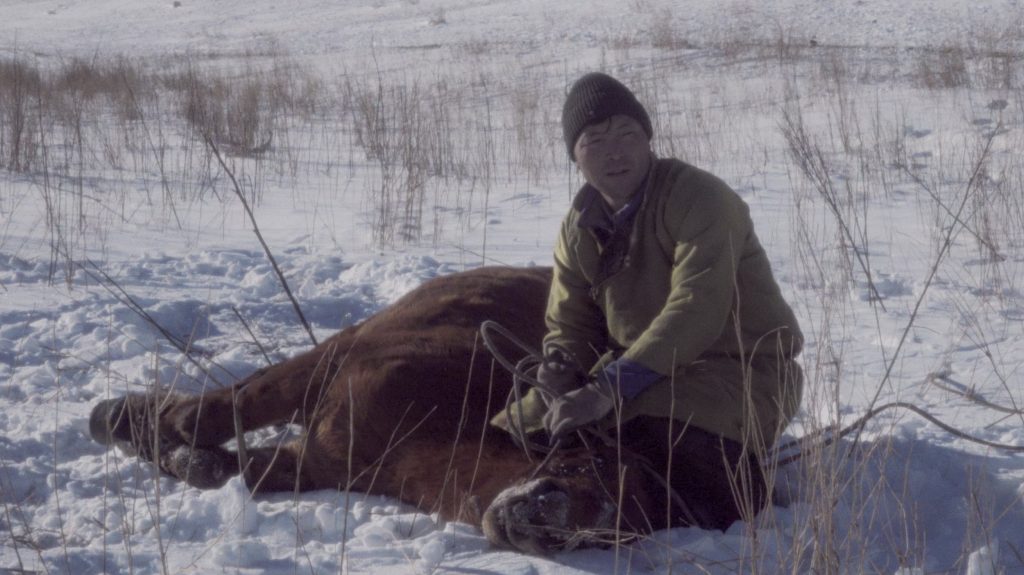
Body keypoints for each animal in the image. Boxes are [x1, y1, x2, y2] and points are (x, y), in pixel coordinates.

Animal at [90, 266, 761, 552]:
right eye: (596, 463)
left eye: (626, 533)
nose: (545, 527)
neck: (427, 430)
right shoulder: (328, 369)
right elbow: (218, 411)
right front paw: (121, 419)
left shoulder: (319, 461)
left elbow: (228, 466)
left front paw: (180, 456)